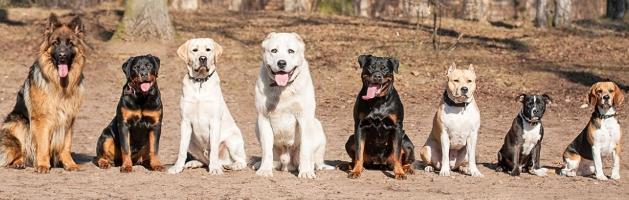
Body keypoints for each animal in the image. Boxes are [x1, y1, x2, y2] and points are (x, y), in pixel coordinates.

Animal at [0, 14, 86, 173]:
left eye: (70, 43)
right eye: (56, 43)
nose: (62, 56)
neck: (60, 85)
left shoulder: (68, 119)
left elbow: (66, 145)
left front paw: (69, 164)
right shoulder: (42, 119)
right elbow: (43, 144)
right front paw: (43, 165)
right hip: (18, 123)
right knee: (20, 151)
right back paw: (19, 162)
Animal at [168, 38, 247, 174]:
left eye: (208, 50)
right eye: (194, 50)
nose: (203, 58)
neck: (200, 82)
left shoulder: (214, 122)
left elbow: (214, 149)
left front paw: (214, 169)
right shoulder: (185, 122)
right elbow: (182, 150)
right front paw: (177, 167)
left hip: (232, 140)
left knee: (241, 161)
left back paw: (231, 166)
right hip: (192, 142)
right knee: (204, 160)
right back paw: (193, 163)